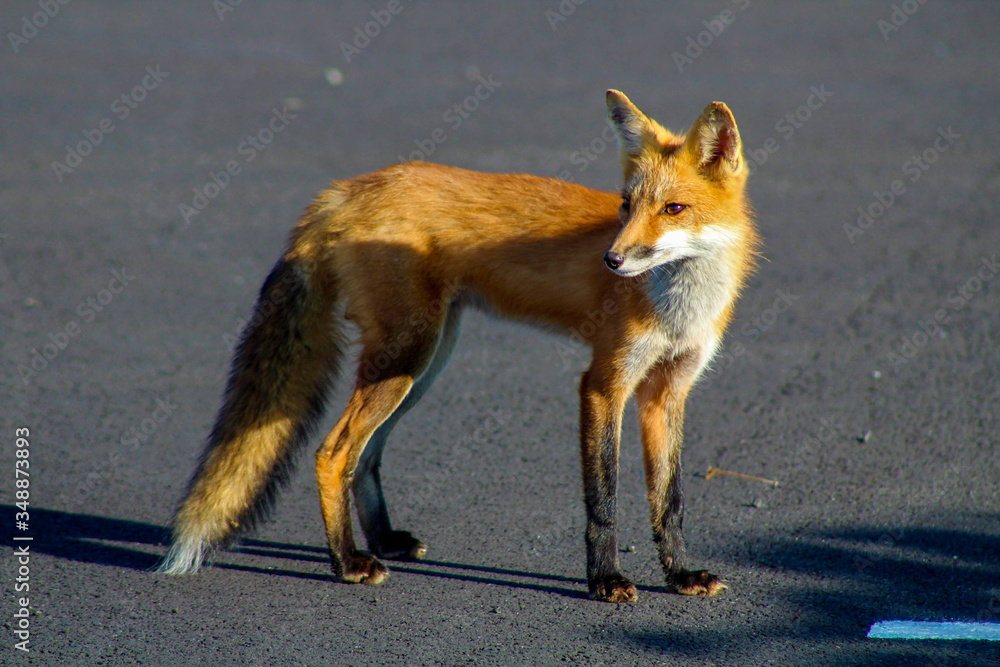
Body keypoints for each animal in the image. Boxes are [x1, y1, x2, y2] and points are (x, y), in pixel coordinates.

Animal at [159, 90, 760, 603]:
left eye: (673, 209)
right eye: (625, 204)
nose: (611, 261)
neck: (679, 307)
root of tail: (346, 188)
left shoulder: (667, 393)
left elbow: (669, 500)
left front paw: (681, 575)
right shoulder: (603, 384)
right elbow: (603, 500)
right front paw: (605, 580)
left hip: (424, 365)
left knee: (366, 454)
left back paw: (383, 541)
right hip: (406, 358)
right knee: (333, 453)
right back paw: (348, 562)